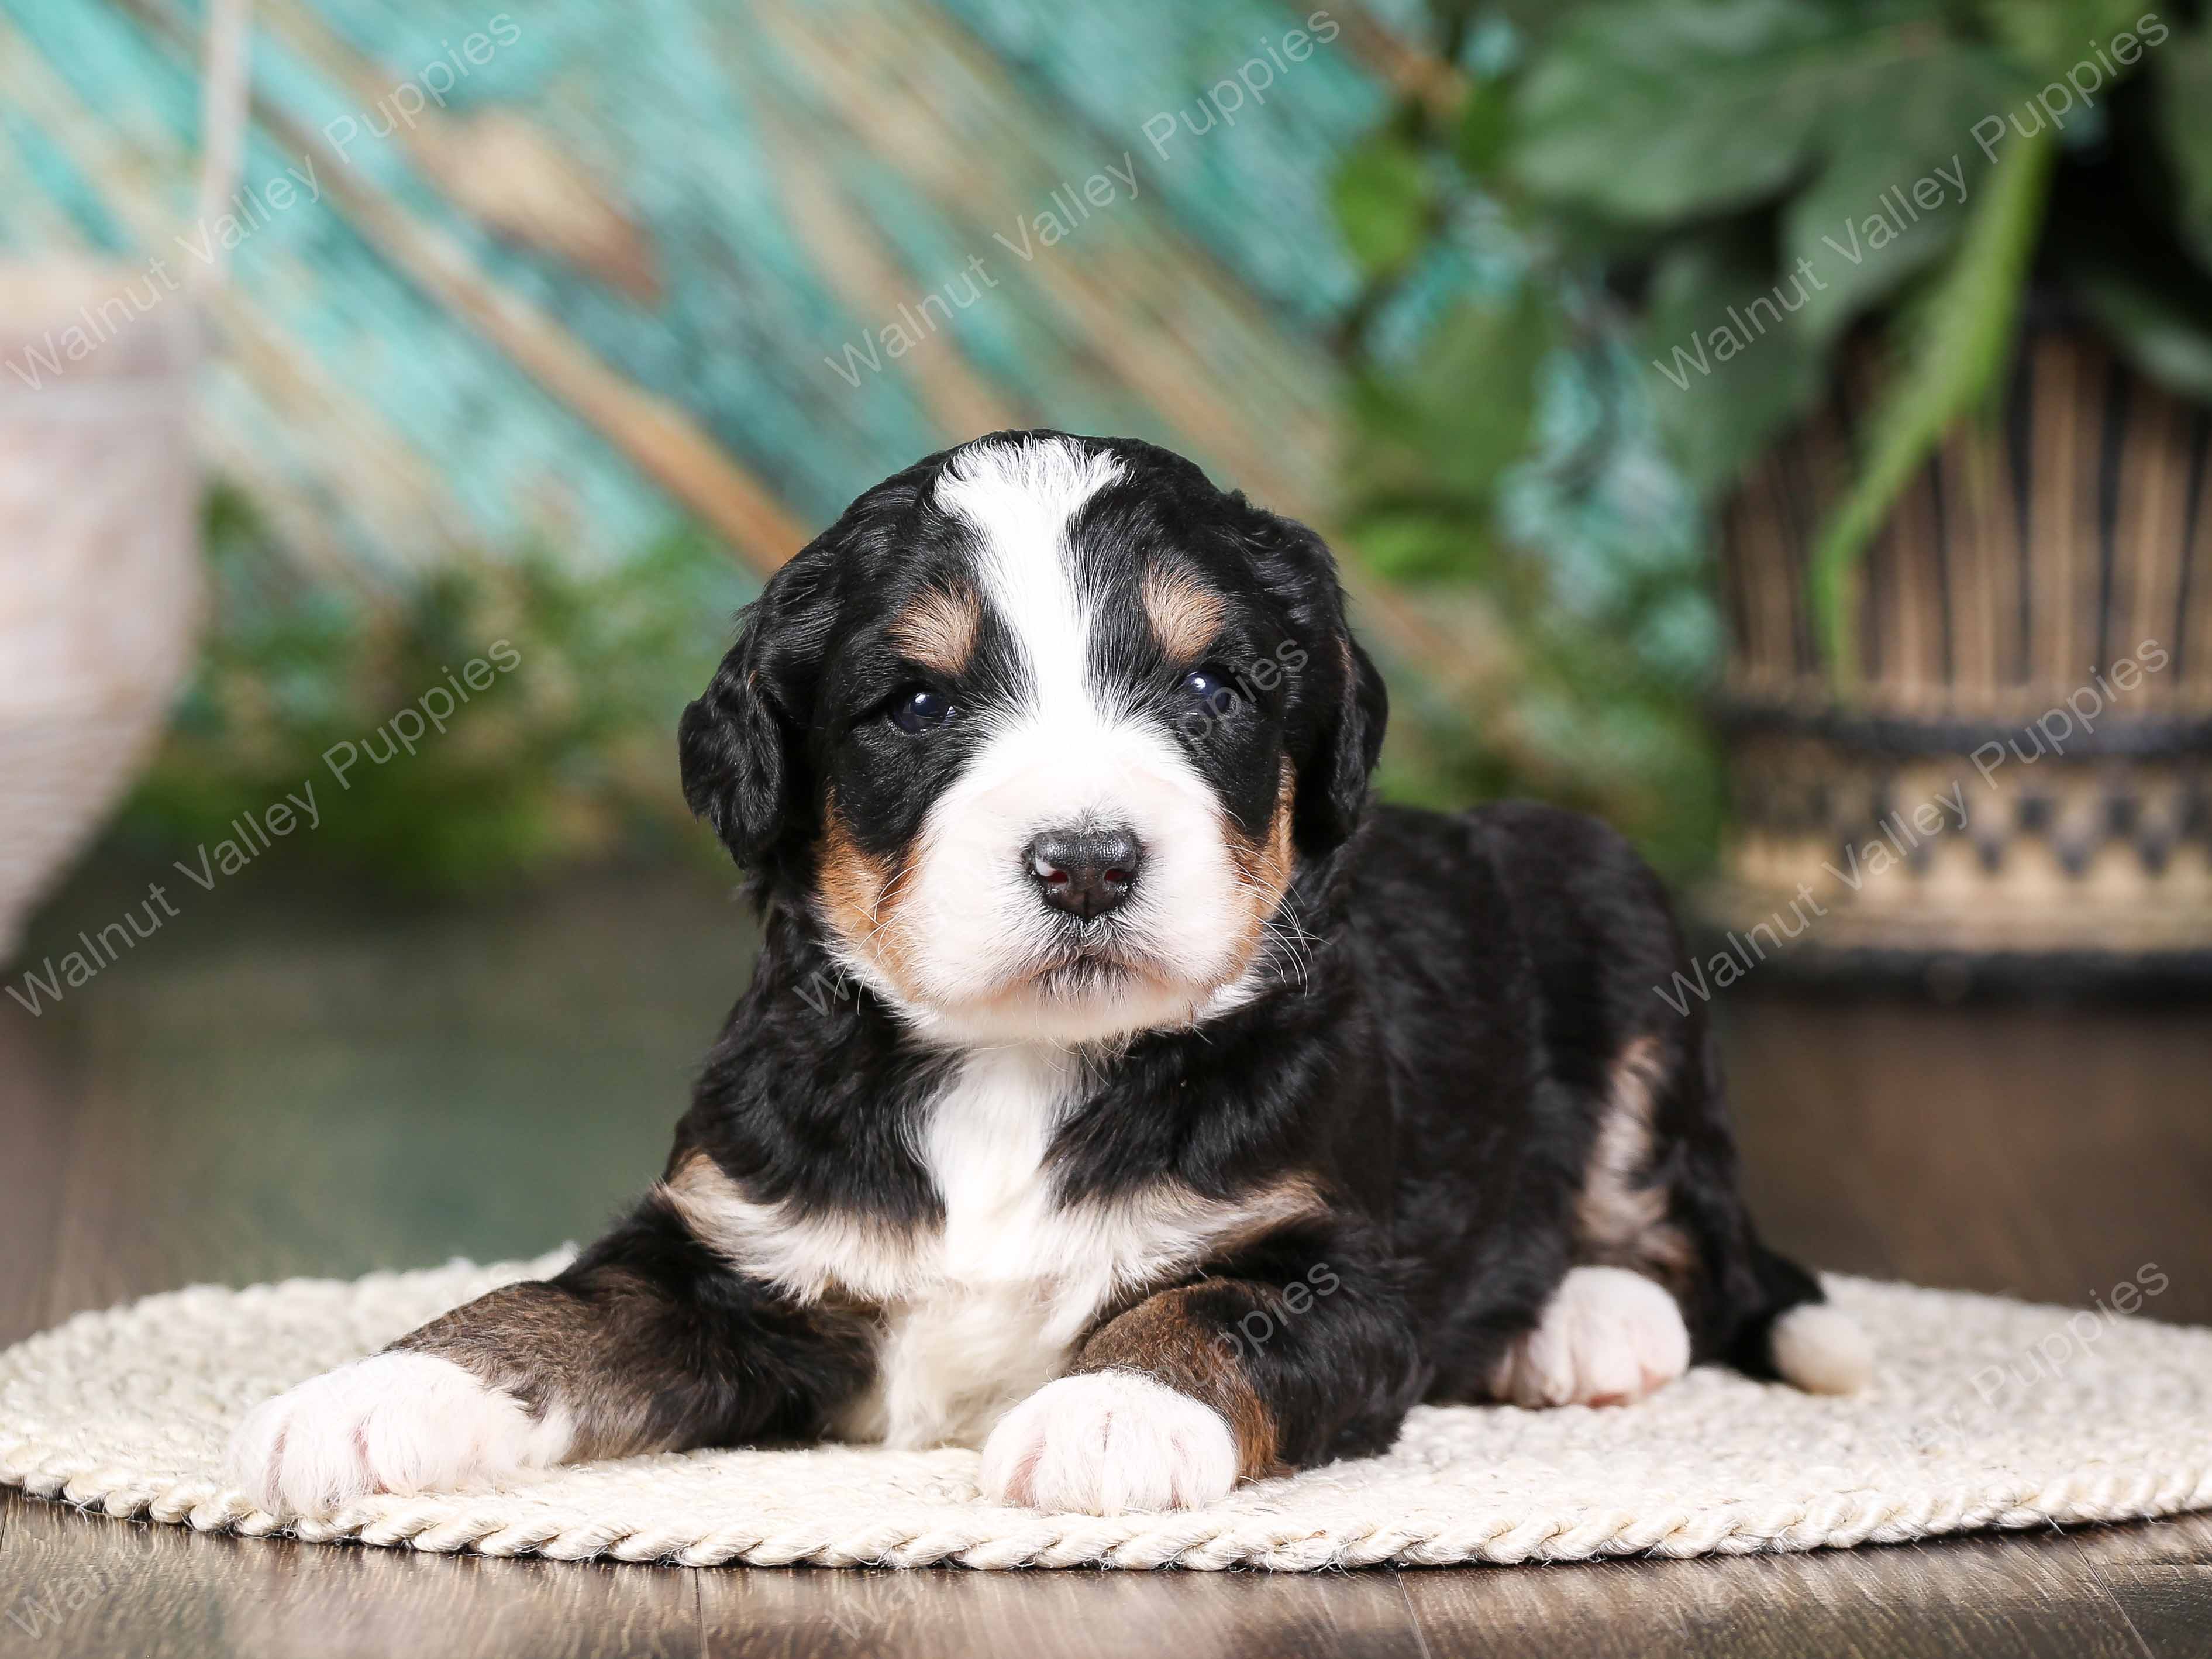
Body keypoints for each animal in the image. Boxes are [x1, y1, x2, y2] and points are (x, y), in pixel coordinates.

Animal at [229, 431, 1870, 1518]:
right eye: (913, 702)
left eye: (1210, 685)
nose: (1086, 860)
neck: (1016, 1064)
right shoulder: (725, 1238)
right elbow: (549, 1306)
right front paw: (376, 1393)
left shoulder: (1332, 1261)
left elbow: (1206, 1312)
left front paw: (1108, 1414)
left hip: (1615, 916)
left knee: (1688, 1245)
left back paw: (1587, 1320)